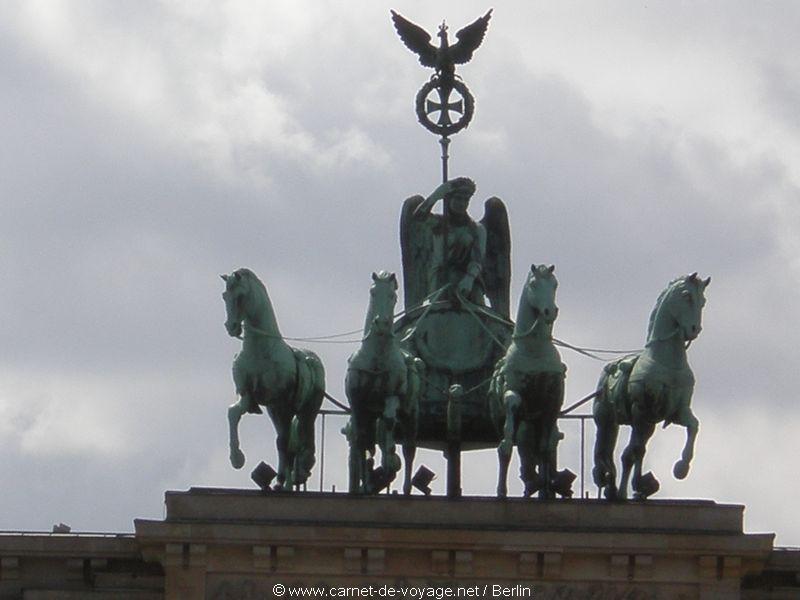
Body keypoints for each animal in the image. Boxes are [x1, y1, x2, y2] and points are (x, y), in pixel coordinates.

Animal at [220, 270, 324, 490]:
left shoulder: (282, 401)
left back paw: (297, 472)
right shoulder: (249, 397)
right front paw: (236, 459)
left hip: (305, 410)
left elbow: (286, 440)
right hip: (275, 410)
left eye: (240, 296)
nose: (231, 327)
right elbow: (233, 413)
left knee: (301, 437)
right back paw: (284, 480)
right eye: (224, 296)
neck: (261, 349)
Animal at [346, 274, 422, 496]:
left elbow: (389, 422)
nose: (380, 323)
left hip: (411, 414)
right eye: (373, 292)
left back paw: (405, 486)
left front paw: (388, 463)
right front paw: (366, 484)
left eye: (393, 296)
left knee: (409, 448)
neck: (376, 359)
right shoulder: (358, 404)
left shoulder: (392, 397)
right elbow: (361, 438)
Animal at [490, 264, 564, 500]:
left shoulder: (551, 403)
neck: (534, 350)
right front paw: (501, 491)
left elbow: (544, 448)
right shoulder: (513, 391)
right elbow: (506, 443)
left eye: (555, 284)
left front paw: (545, 489)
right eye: (533, 284)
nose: (550, 311)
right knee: (520, 443)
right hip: (523, 422)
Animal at [592, 274, 712, 500]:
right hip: (607, 421)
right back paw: (613, 486)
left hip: (646, 423)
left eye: (703, 301)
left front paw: (681, 468)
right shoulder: (641, 411)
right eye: (686, 296)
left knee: (631, 451)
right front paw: (628, 489)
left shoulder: (677, 411)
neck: (667, 361)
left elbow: (693, 426)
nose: (694, 330)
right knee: (608, 451)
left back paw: (633, 488)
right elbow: (633, 452)